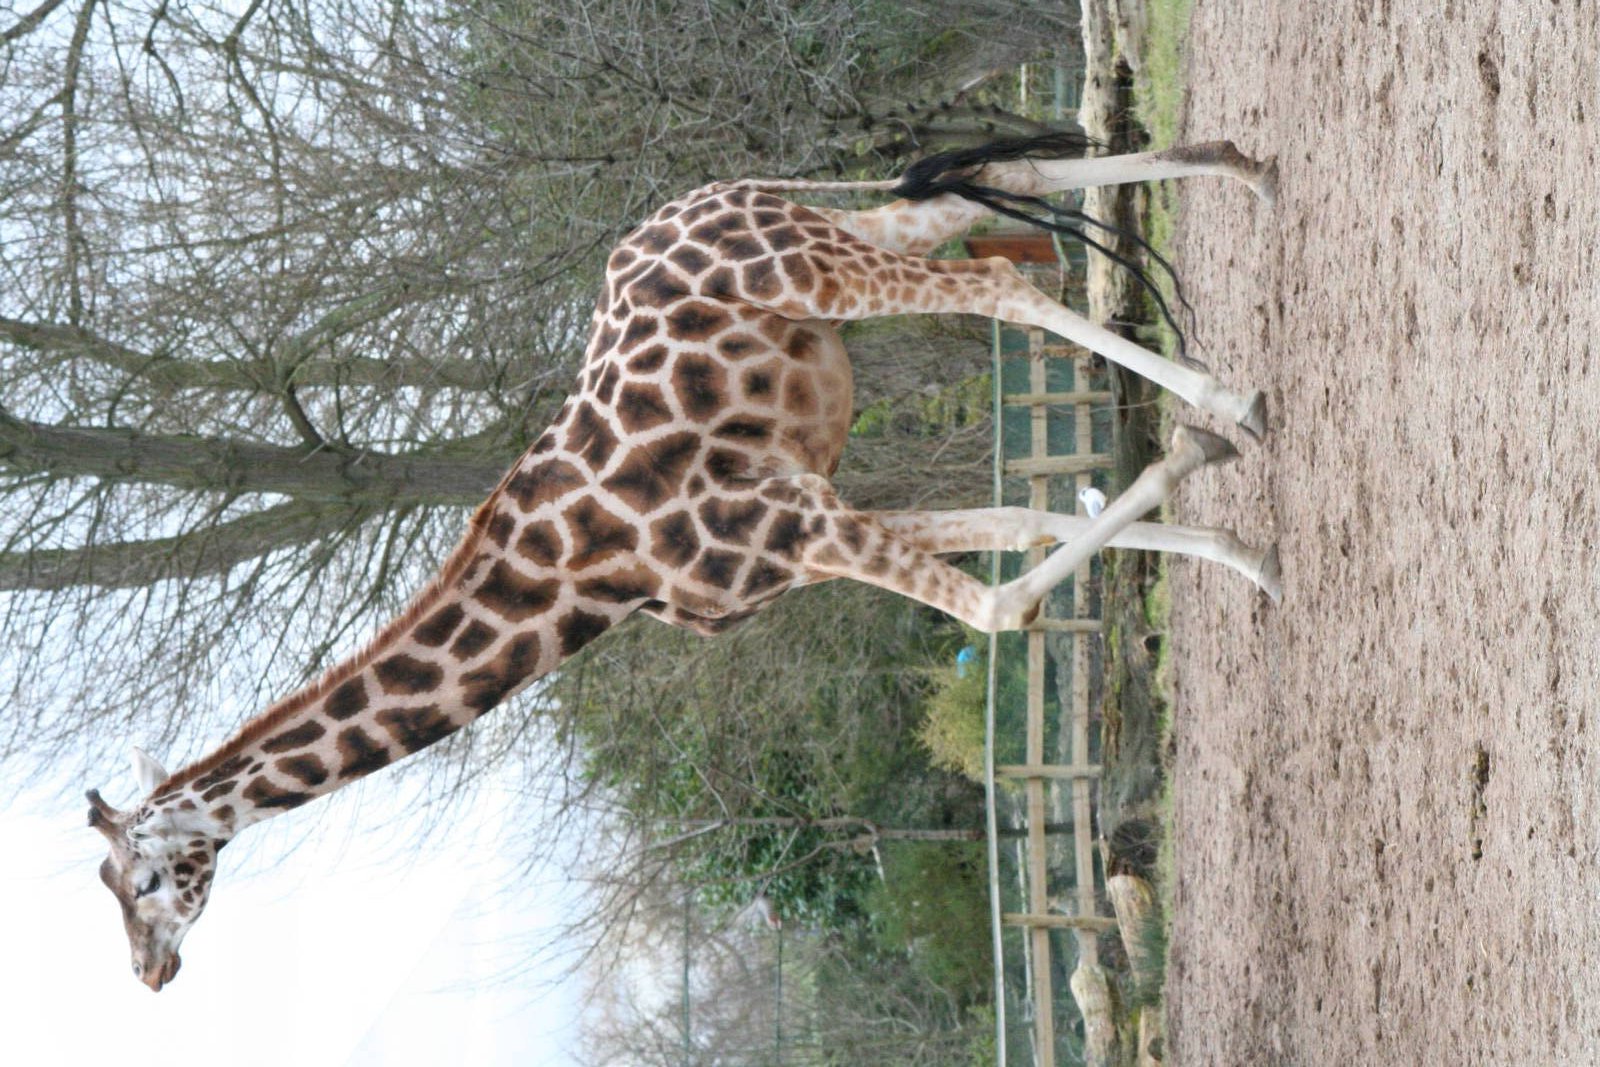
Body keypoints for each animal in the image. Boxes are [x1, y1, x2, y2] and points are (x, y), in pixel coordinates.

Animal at [87, 134, 1279, 990]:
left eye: (143, 878)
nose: (150, 974)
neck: (591, 582)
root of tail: (703, 198)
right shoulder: (799, 537)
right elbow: (1023, 523)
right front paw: (1241, 550)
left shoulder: (797, 524)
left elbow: (1000, 610)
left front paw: (1209, 447)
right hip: (832, 233)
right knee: (1003, 182)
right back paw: (1241, 169)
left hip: (817, 269)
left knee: (1002, 283)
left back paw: (1226, 390)